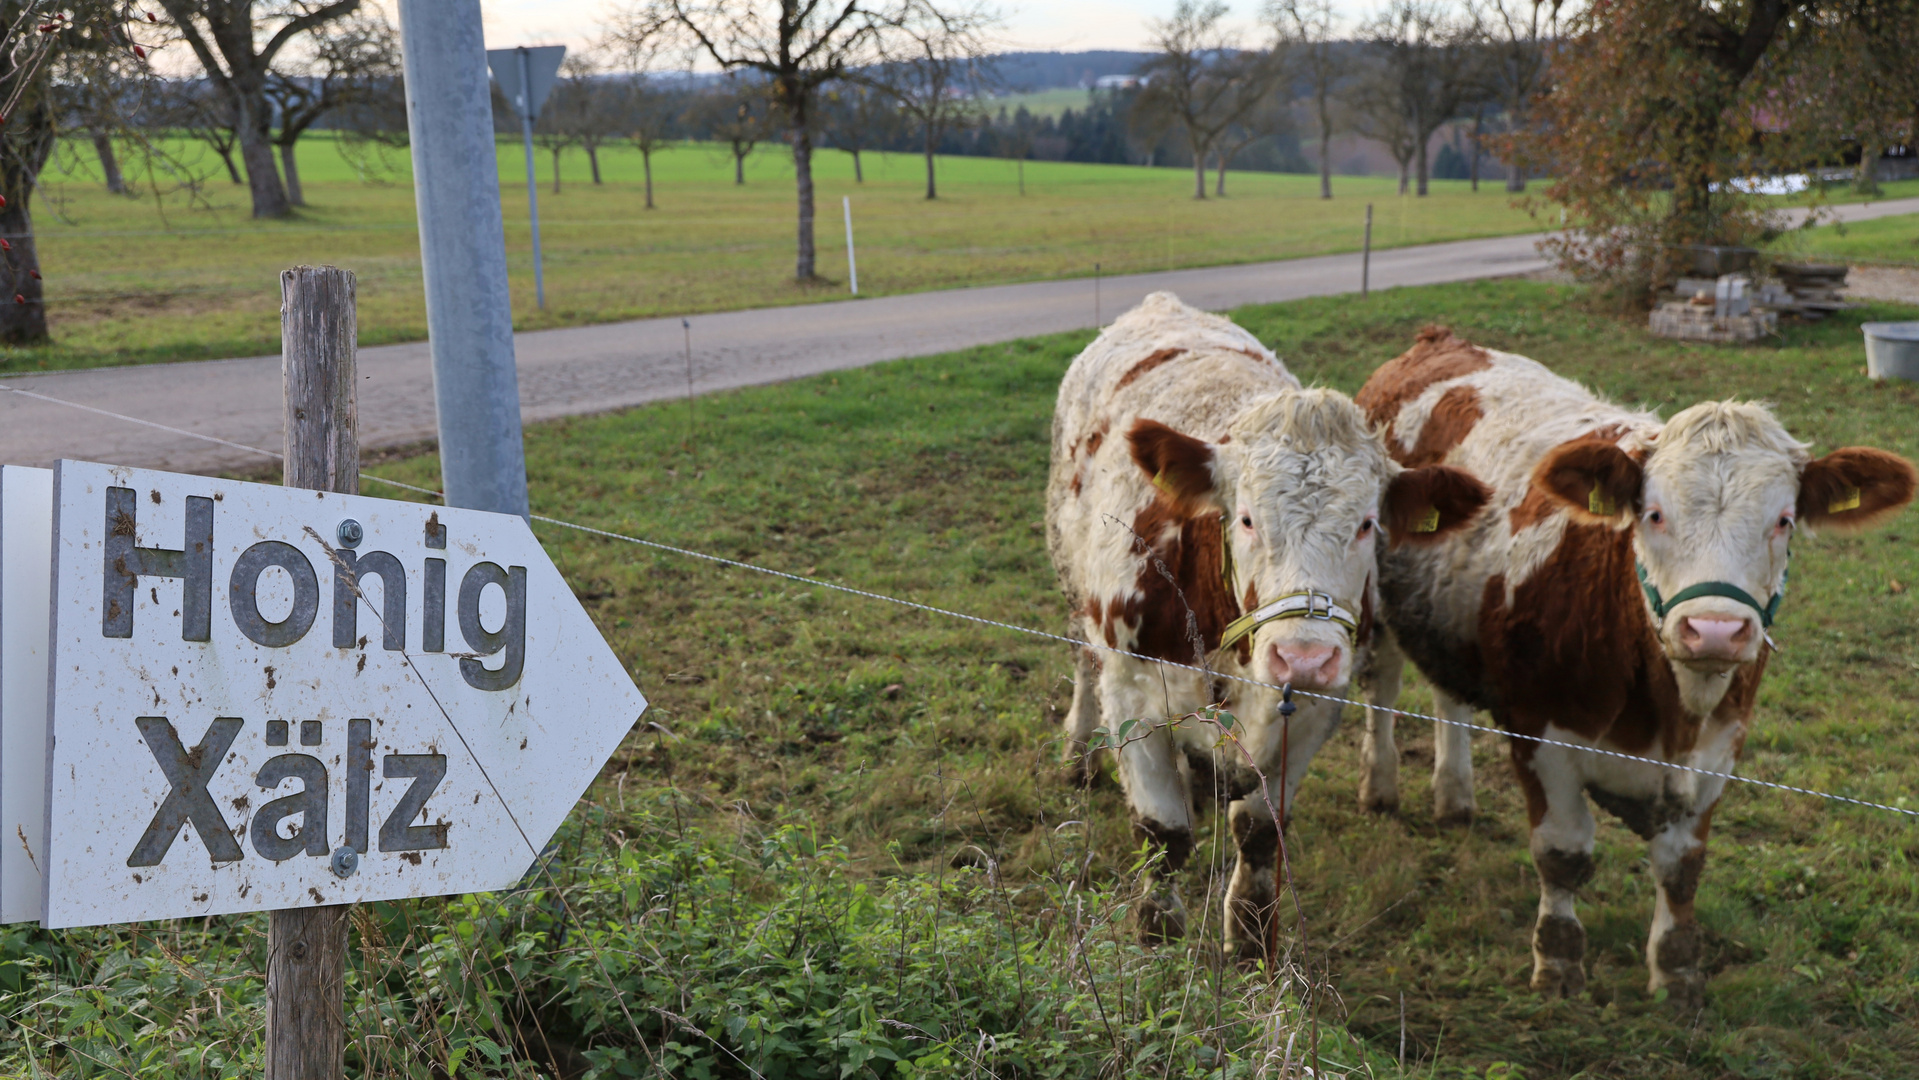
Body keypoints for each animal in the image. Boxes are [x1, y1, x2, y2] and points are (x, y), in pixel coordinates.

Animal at [1051, 291, 1481, 959]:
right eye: (1247, 518)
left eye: (1367, 523)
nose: (1303, 656)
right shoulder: (1132, 690)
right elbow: (1162, 833)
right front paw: (1156, 932)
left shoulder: (1311, 711)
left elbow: (1258, 830)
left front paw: (1252, 939)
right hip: (1072, 582)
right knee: (1079, 656)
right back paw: (1078, 752)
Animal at [1358, 328, 1911, 1005]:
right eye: (1654, 514)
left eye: (1783, 521)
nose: (1715, 629)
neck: (1672, 710)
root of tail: (1438, 340)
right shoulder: (1541, 733)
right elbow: (1563, 853)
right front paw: (1558, 965)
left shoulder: (1720, 749)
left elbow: (1681, 870)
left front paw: (1676, 974)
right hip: (1379, 599)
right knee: (1382, 684)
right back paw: (1380, 786)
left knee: (1448, 694)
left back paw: (1454, 795)